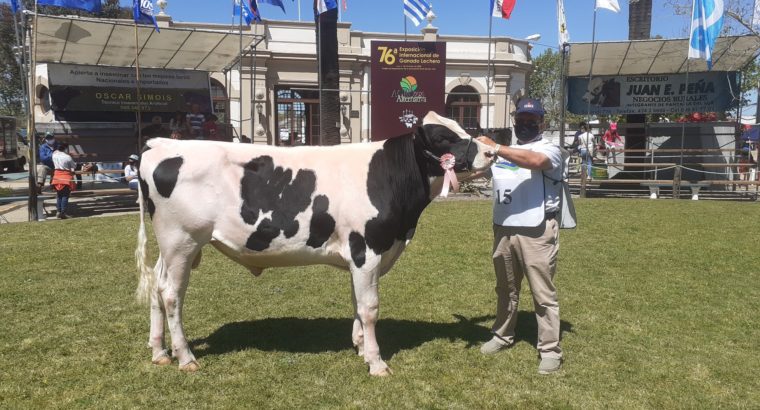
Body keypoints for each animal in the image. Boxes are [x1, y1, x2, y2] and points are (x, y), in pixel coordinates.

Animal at [135, 110, 492, 376]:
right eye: (443, 137)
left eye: (462, 126)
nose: (491, 151)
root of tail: (158, 145)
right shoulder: (367, 250)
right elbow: (370, 308)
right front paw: (376, 362)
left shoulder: (358, 255)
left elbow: (356, 303)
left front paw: (360, 347)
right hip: (181, 240)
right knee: (172, 295)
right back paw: (185, 358)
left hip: (172, 246)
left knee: (156, 286)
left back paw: (159, 351)